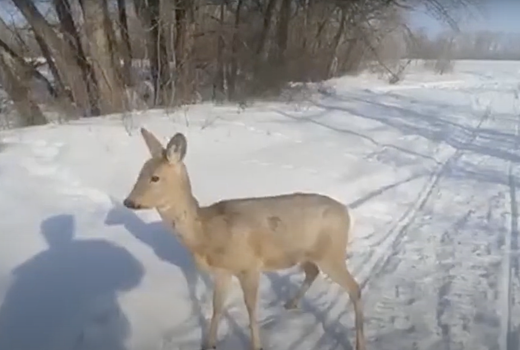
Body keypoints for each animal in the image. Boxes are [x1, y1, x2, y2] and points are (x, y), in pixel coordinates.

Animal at [123, 129, 366, 350]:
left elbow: (251, 308)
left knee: (354, 288)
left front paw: (256, 345)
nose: (128, 202)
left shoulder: (249, 266)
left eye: (155, 177)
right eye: (139, 173)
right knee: (312, 272)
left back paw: (359, 344)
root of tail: (345, 211)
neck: (206, 233)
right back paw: (291, 303)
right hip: (306, 253)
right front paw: (209, 344)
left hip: (332, 253)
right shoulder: (222, 271)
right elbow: (217, 306)